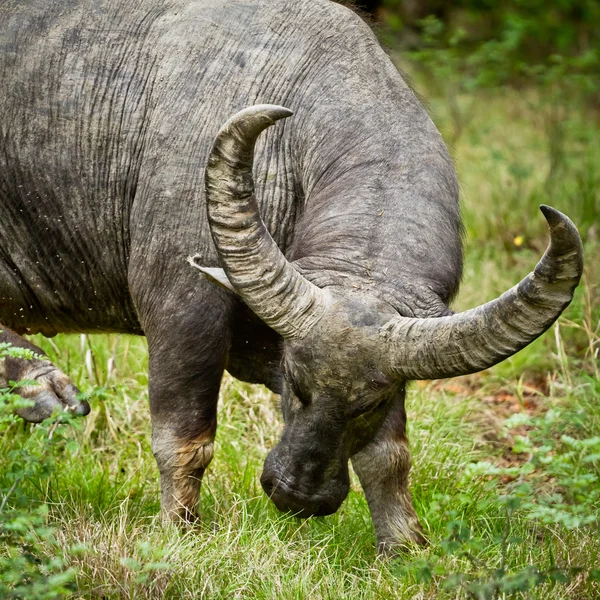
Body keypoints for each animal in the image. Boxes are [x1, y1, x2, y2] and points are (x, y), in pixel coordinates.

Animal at [0, 0, 580, 552]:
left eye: (369, 404)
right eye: (295, 383)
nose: (297, 496)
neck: (283, 153)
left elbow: (387, 458)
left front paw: (403, 547)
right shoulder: (181, 310)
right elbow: (184, 440)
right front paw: (178, 530)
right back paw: (47, 386)